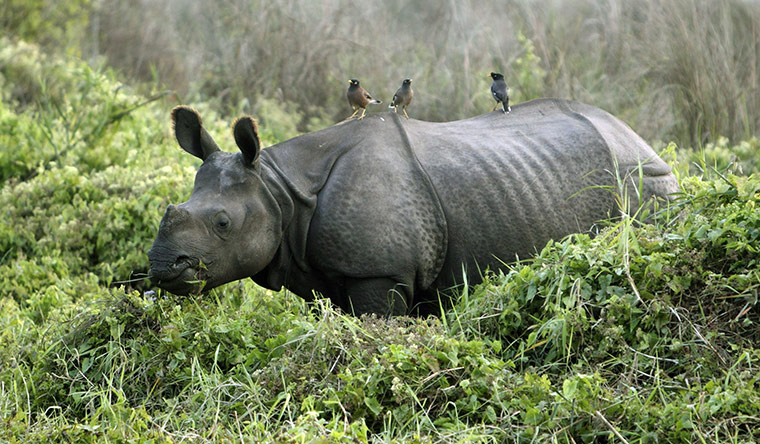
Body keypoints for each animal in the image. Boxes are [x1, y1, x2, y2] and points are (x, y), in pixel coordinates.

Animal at [148, 99, 679, 316]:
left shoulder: (379, 271)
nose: (160, 267)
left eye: (222, 223)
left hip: (647, 183)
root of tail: (643, 139)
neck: (280, 190)